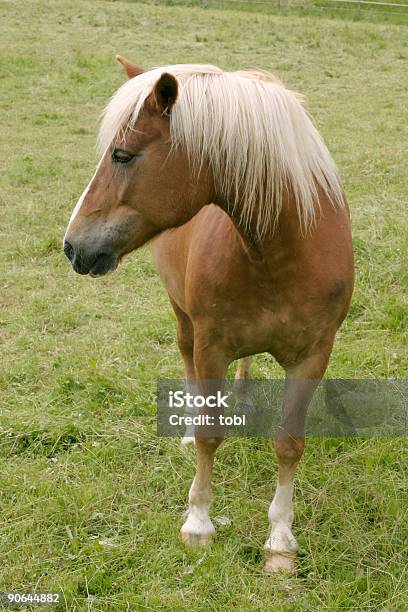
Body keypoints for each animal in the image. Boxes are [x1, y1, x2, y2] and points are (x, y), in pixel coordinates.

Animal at [63, 55, 354, 572]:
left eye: (122, 155)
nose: (72, 246)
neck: (283, 252)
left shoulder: (313, 356)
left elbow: (289, 442)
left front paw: (280, 540)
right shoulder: (210, 346)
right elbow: (209, 435)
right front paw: (198, 523)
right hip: (183, 321)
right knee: (186, 365)